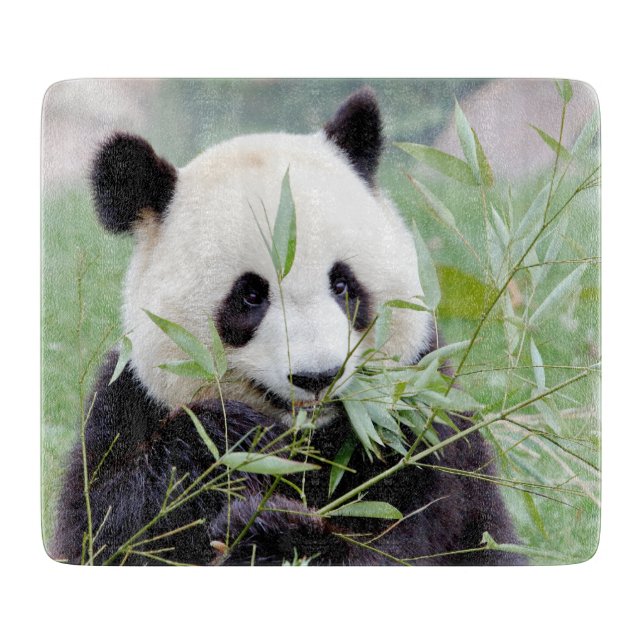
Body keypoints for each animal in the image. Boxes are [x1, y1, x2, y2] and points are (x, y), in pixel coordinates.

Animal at [53, 88, 523, 566]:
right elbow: (107, 523)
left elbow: (403, 535)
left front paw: (272, 531)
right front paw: (235, 443)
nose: (318, 377)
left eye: (342, 284)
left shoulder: (423, 420)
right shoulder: (128, 404)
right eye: (250, 296)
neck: (313, 441)